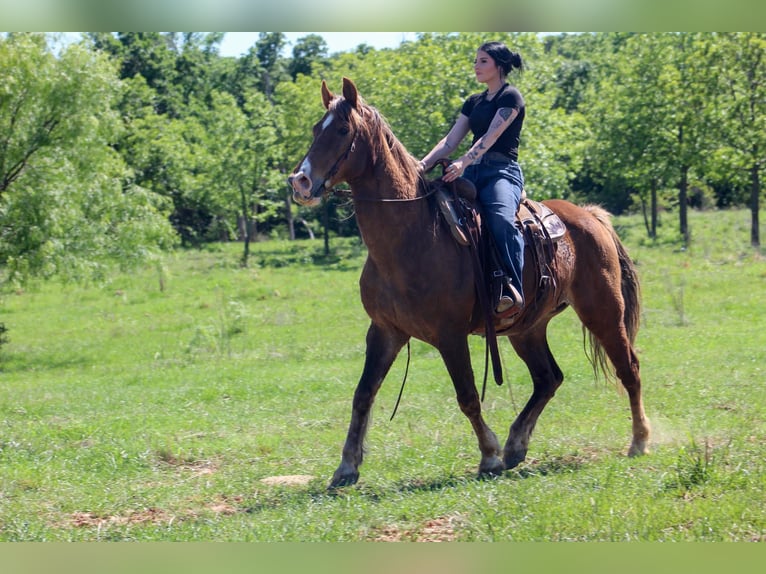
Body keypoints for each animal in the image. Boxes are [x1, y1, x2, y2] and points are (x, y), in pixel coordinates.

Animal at [288, 77, 650, 489]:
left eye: (342, 130)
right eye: (316, 129)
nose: (300, 181)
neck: (412, 234)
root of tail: (589, 216)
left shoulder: (449, 335)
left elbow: (467, 396)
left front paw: (488, 455)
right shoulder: (384, 331)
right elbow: (363, 393)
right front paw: (347, 466)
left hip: (603, 311)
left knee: (628, 368)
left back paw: (638, 440)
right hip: (527, 329)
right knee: (548, 378)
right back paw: (516, 445)